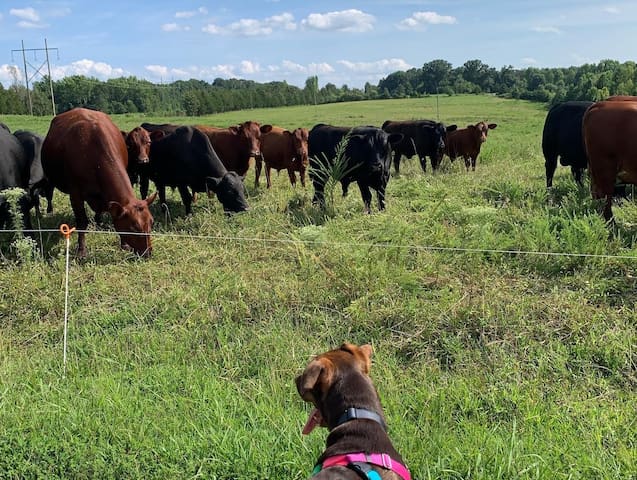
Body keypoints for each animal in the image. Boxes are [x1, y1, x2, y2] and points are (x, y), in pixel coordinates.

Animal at [41, 108, 157, 258]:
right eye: (133, 228)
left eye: (151, 222)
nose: (148, 252)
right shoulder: (75, 193)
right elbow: (82, 221)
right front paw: (81, 251)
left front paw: (124, 245)